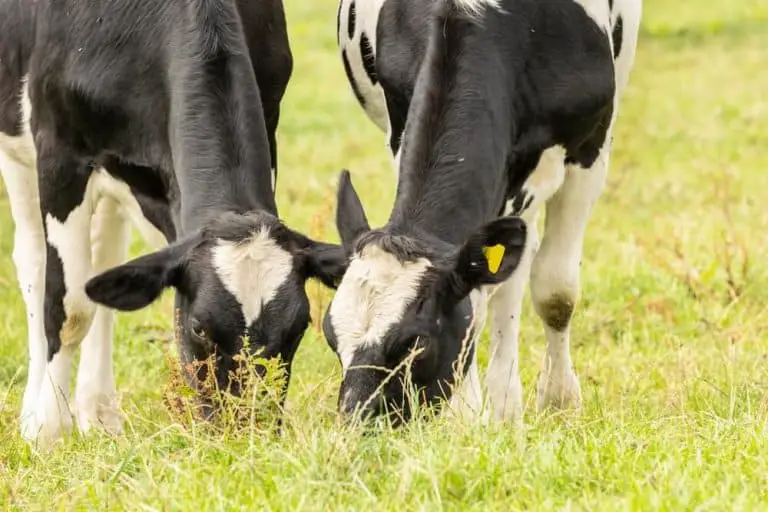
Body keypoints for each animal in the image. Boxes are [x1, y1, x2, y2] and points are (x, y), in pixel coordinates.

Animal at [0, 0, 347, 446]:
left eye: (300, 326)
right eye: (199, 328)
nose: (244, 432)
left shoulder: (267, 122)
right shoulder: (60, 151)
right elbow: (68, 306)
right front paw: (48, 431)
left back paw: (99, 412)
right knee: (35, 265)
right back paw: (34, 410)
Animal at [328, 0, 641, 424]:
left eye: (416, 344)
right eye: (331, 336)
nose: (356, 423)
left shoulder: (589, 150)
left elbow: (556, 291)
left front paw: (556, 400)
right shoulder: (399, 126)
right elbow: (477, 294)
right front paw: (467, 413)